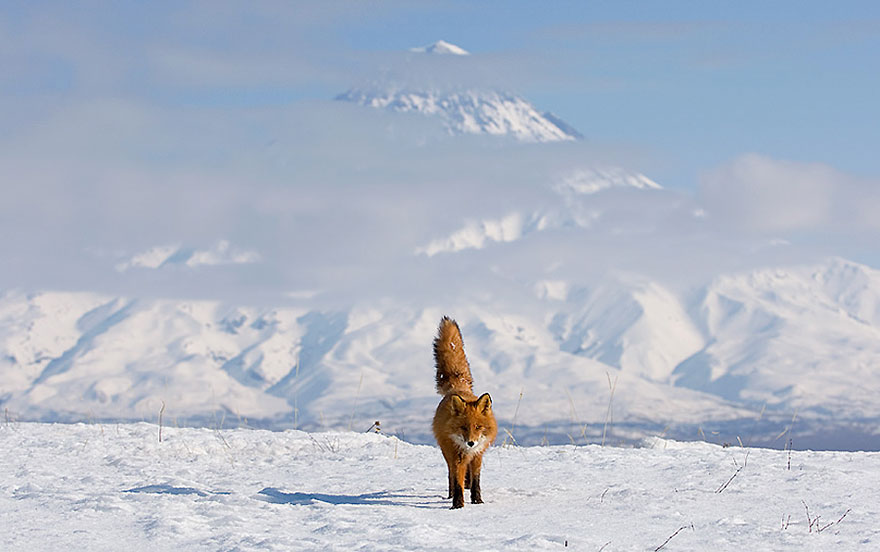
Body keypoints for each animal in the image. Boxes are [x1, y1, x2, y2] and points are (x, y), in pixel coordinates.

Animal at [431, 316, 497, 509]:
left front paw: (478, 501)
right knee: (451, 476)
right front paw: (457, 505)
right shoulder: (457, 456)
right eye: (463, 427)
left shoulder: (477, 455)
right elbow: (458, 481)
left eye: (478, 427)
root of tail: (458, 389)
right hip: (446, 453)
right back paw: (451, 494)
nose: (471, 442)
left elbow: (476, 481)